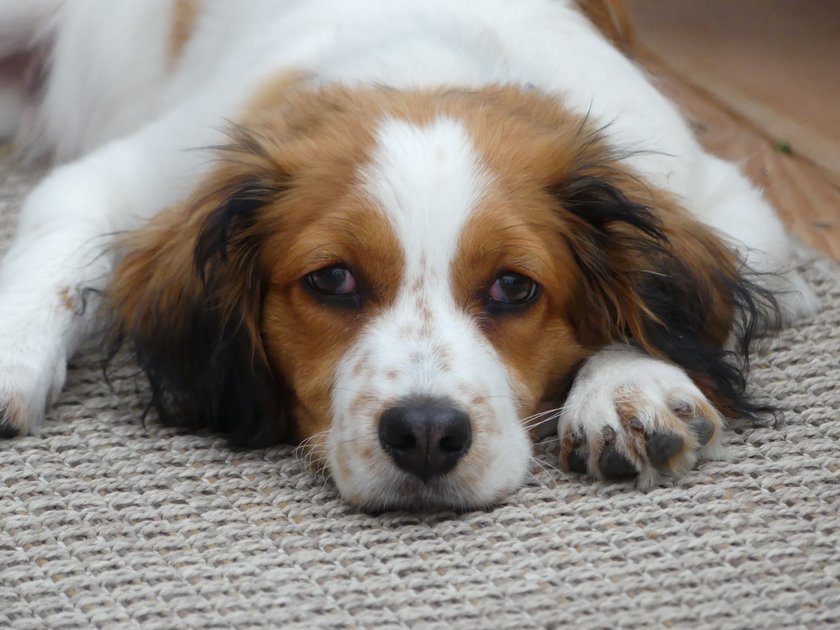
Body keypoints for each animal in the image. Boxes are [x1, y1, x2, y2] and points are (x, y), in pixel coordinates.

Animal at [0, 0, 816, 512]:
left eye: (514, 288)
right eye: (332, 279)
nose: (426, 435)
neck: (429, 64)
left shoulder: (732, 208)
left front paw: (628, 386)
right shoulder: (120, 176)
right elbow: (57, 258)